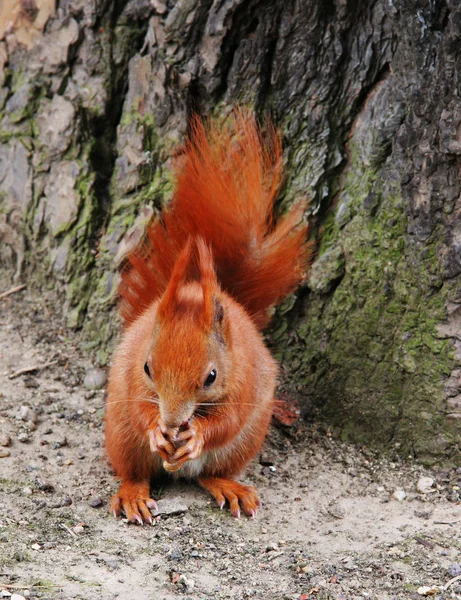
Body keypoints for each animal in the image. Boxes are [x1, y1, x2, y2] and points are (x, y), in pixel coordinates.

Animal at [104, 110, 312, 524]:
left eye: (211, 376)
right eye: (148, 367)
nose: (171, 423)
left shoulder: (244, 379)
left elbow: (225, 421)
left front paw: (196, 434)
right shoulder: (132, 375)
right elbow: (140, 406)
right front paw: (156, 429)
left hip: (245, 442)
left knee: (210, 473)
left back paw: (229, 487)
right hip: (120, 434)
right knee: (133, 472)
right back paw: (134, 494)